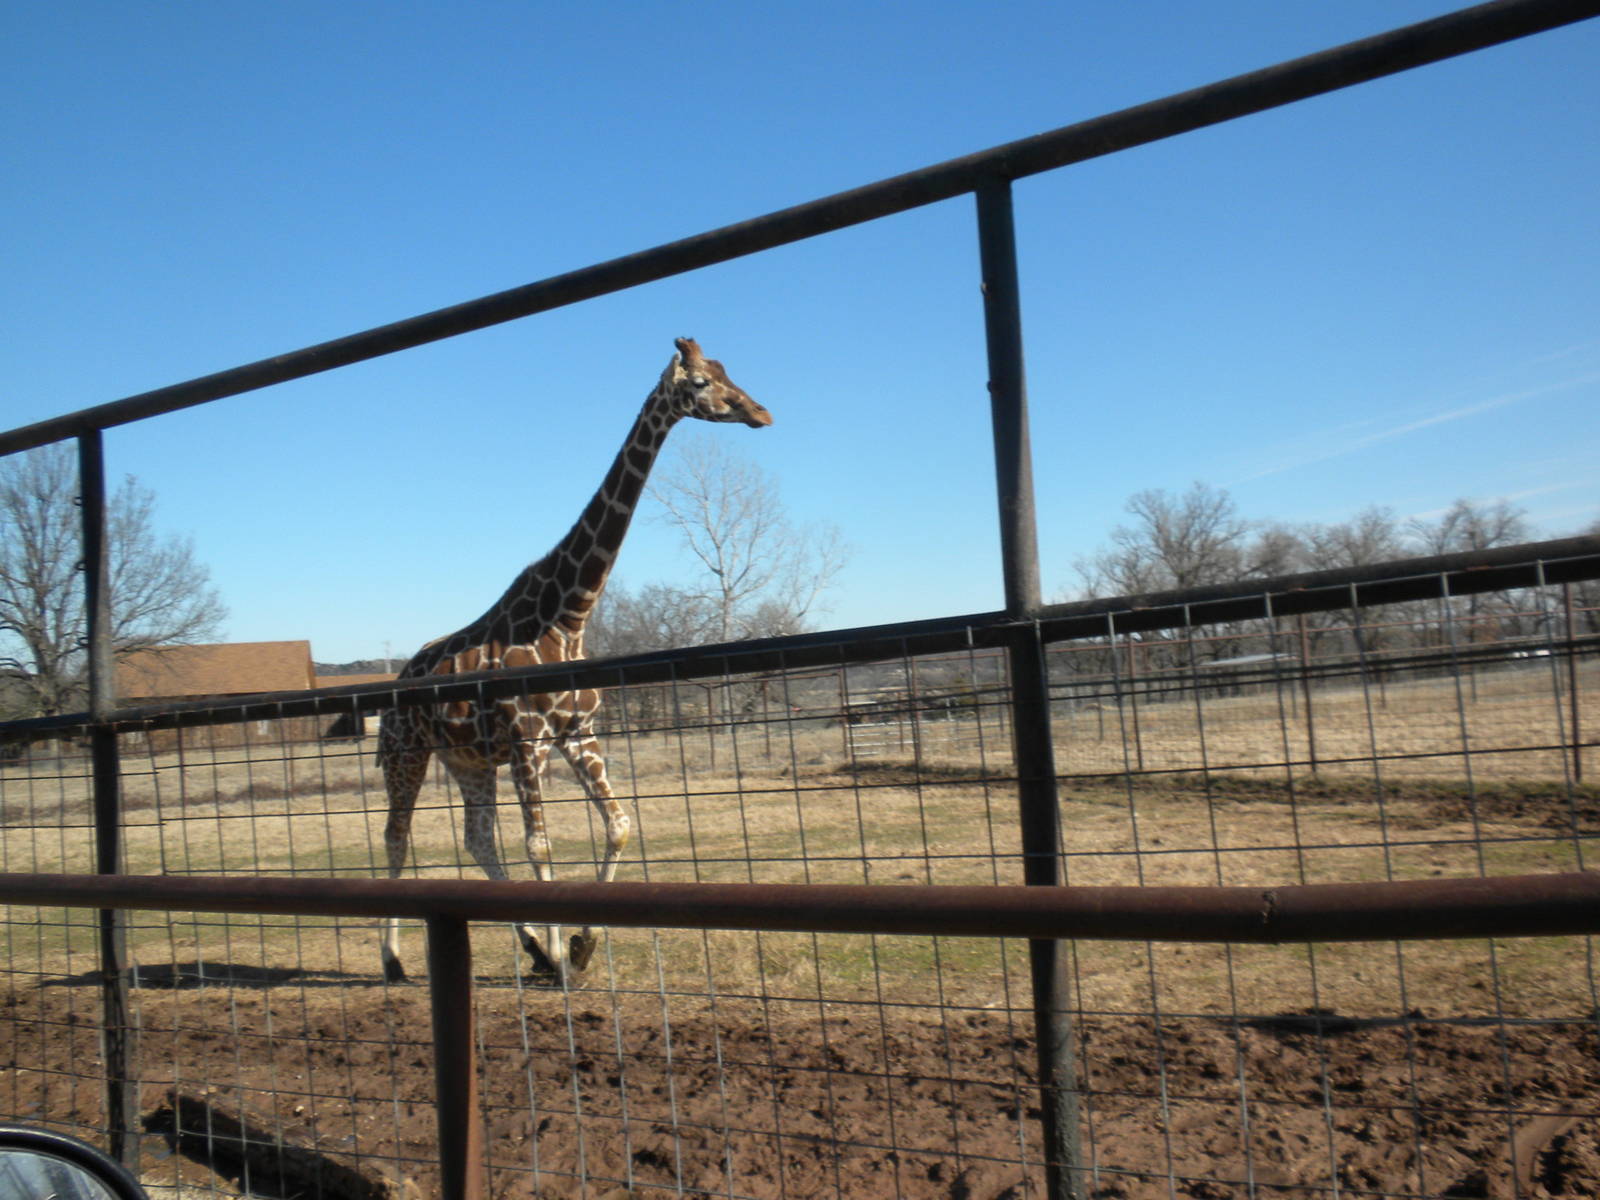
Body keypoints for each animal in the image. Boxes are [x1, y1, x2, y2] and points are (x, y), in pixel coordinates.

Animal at [376, 337, 772, 984]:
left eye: (726, 371)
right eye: (699, 383)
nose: (760, 412)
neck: (569, 614)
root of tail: (396, 682)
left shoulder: (577, 734)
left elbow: (618, 823)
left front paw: (581, 945)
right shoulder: (528, 740)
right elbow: (540, 846)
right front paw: (567, 957)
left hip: (467, 761)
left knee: (476, 838)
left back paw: (534, 948)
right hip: (406, 752)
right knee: (396, 835)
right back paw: (393, 961)